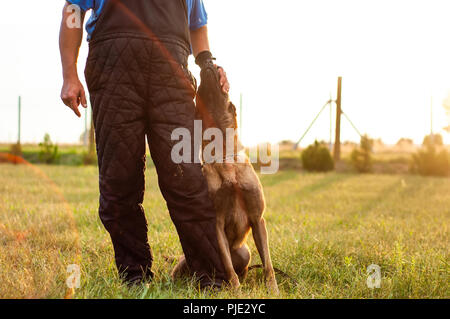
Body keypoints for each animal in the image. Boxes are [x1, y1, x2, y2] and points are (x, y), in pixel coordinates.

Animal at [171, 61, 280, 294]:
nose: (210, 64)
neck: (223, 155)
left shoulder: (258, 219)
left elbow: (267, 264)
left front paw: (273, 290)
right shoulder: (217, 224)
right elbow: (229, 269)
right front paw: (236, 290)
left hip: (245, 252)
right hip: (189, 260)